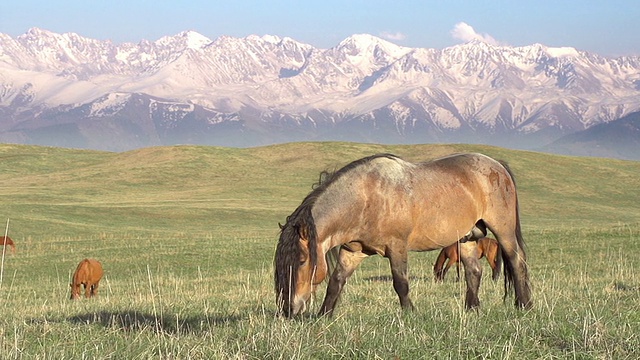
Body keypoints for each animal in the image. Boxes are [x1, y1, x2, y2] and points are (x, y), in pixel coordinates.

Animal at [274, 153, 528, 316]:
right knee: (474, 271)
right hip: (465, 238)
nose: (288, 310)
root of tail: (497, 165)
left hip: (503, 232)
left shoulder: (396, 247)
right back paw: (472, 309)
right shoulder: (352, 252)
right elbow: (336, 282)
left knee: (517, 263)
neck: (366, 197)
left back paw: (523, 304)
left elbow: (400, 283)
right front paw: (323, 316)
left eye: (302, 260)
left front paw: (410, 313)